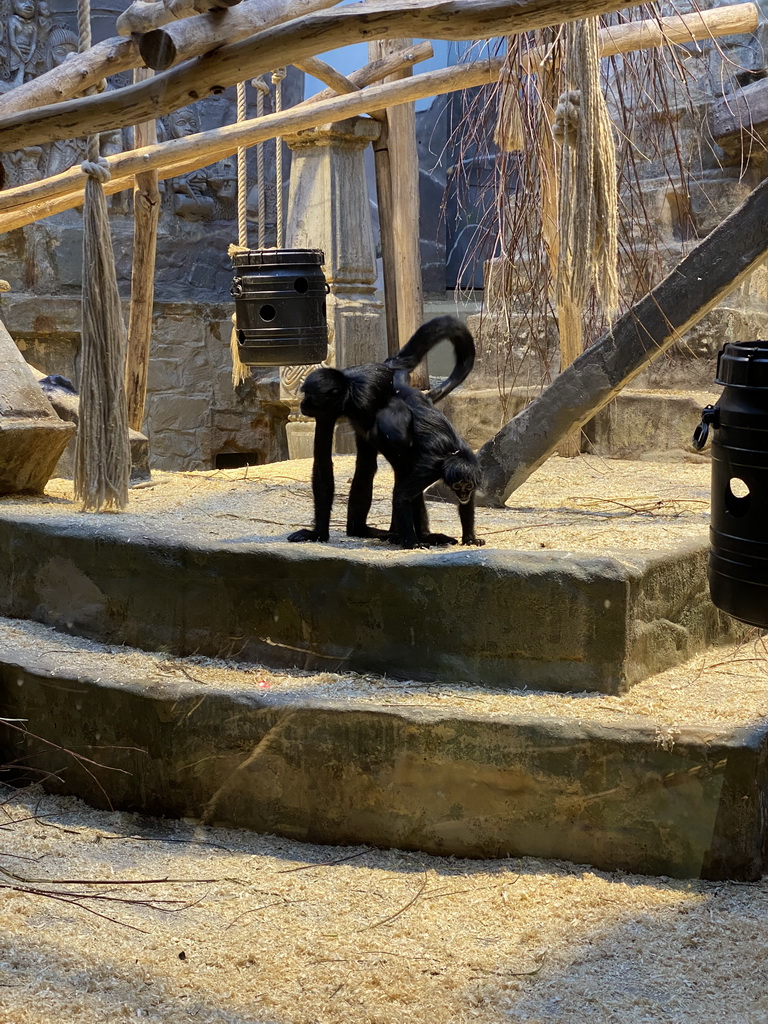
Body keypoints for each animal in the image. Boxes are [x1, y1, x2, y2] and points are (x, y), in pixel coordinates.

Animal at [288, 315, 475, 544]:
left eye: (308, 396)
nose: (302, 404)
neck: (349, 394)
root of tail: (390, 366)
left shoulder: (365, 400)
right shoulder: (326, 412)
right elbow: (323, 463)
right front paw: (318, 533)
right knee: (367, 466)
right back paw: (360, 529)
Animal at [374, 364, 487, 548]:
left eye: (468, 486)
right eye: (458, 486)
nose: (463, 495)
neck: (453, 453)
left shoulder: (475, 468)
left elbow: (468, 505)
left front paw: (470, 539)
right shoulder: (430, 467)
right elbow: (401, 496)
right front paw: (412, 543)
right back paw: (406, 536)